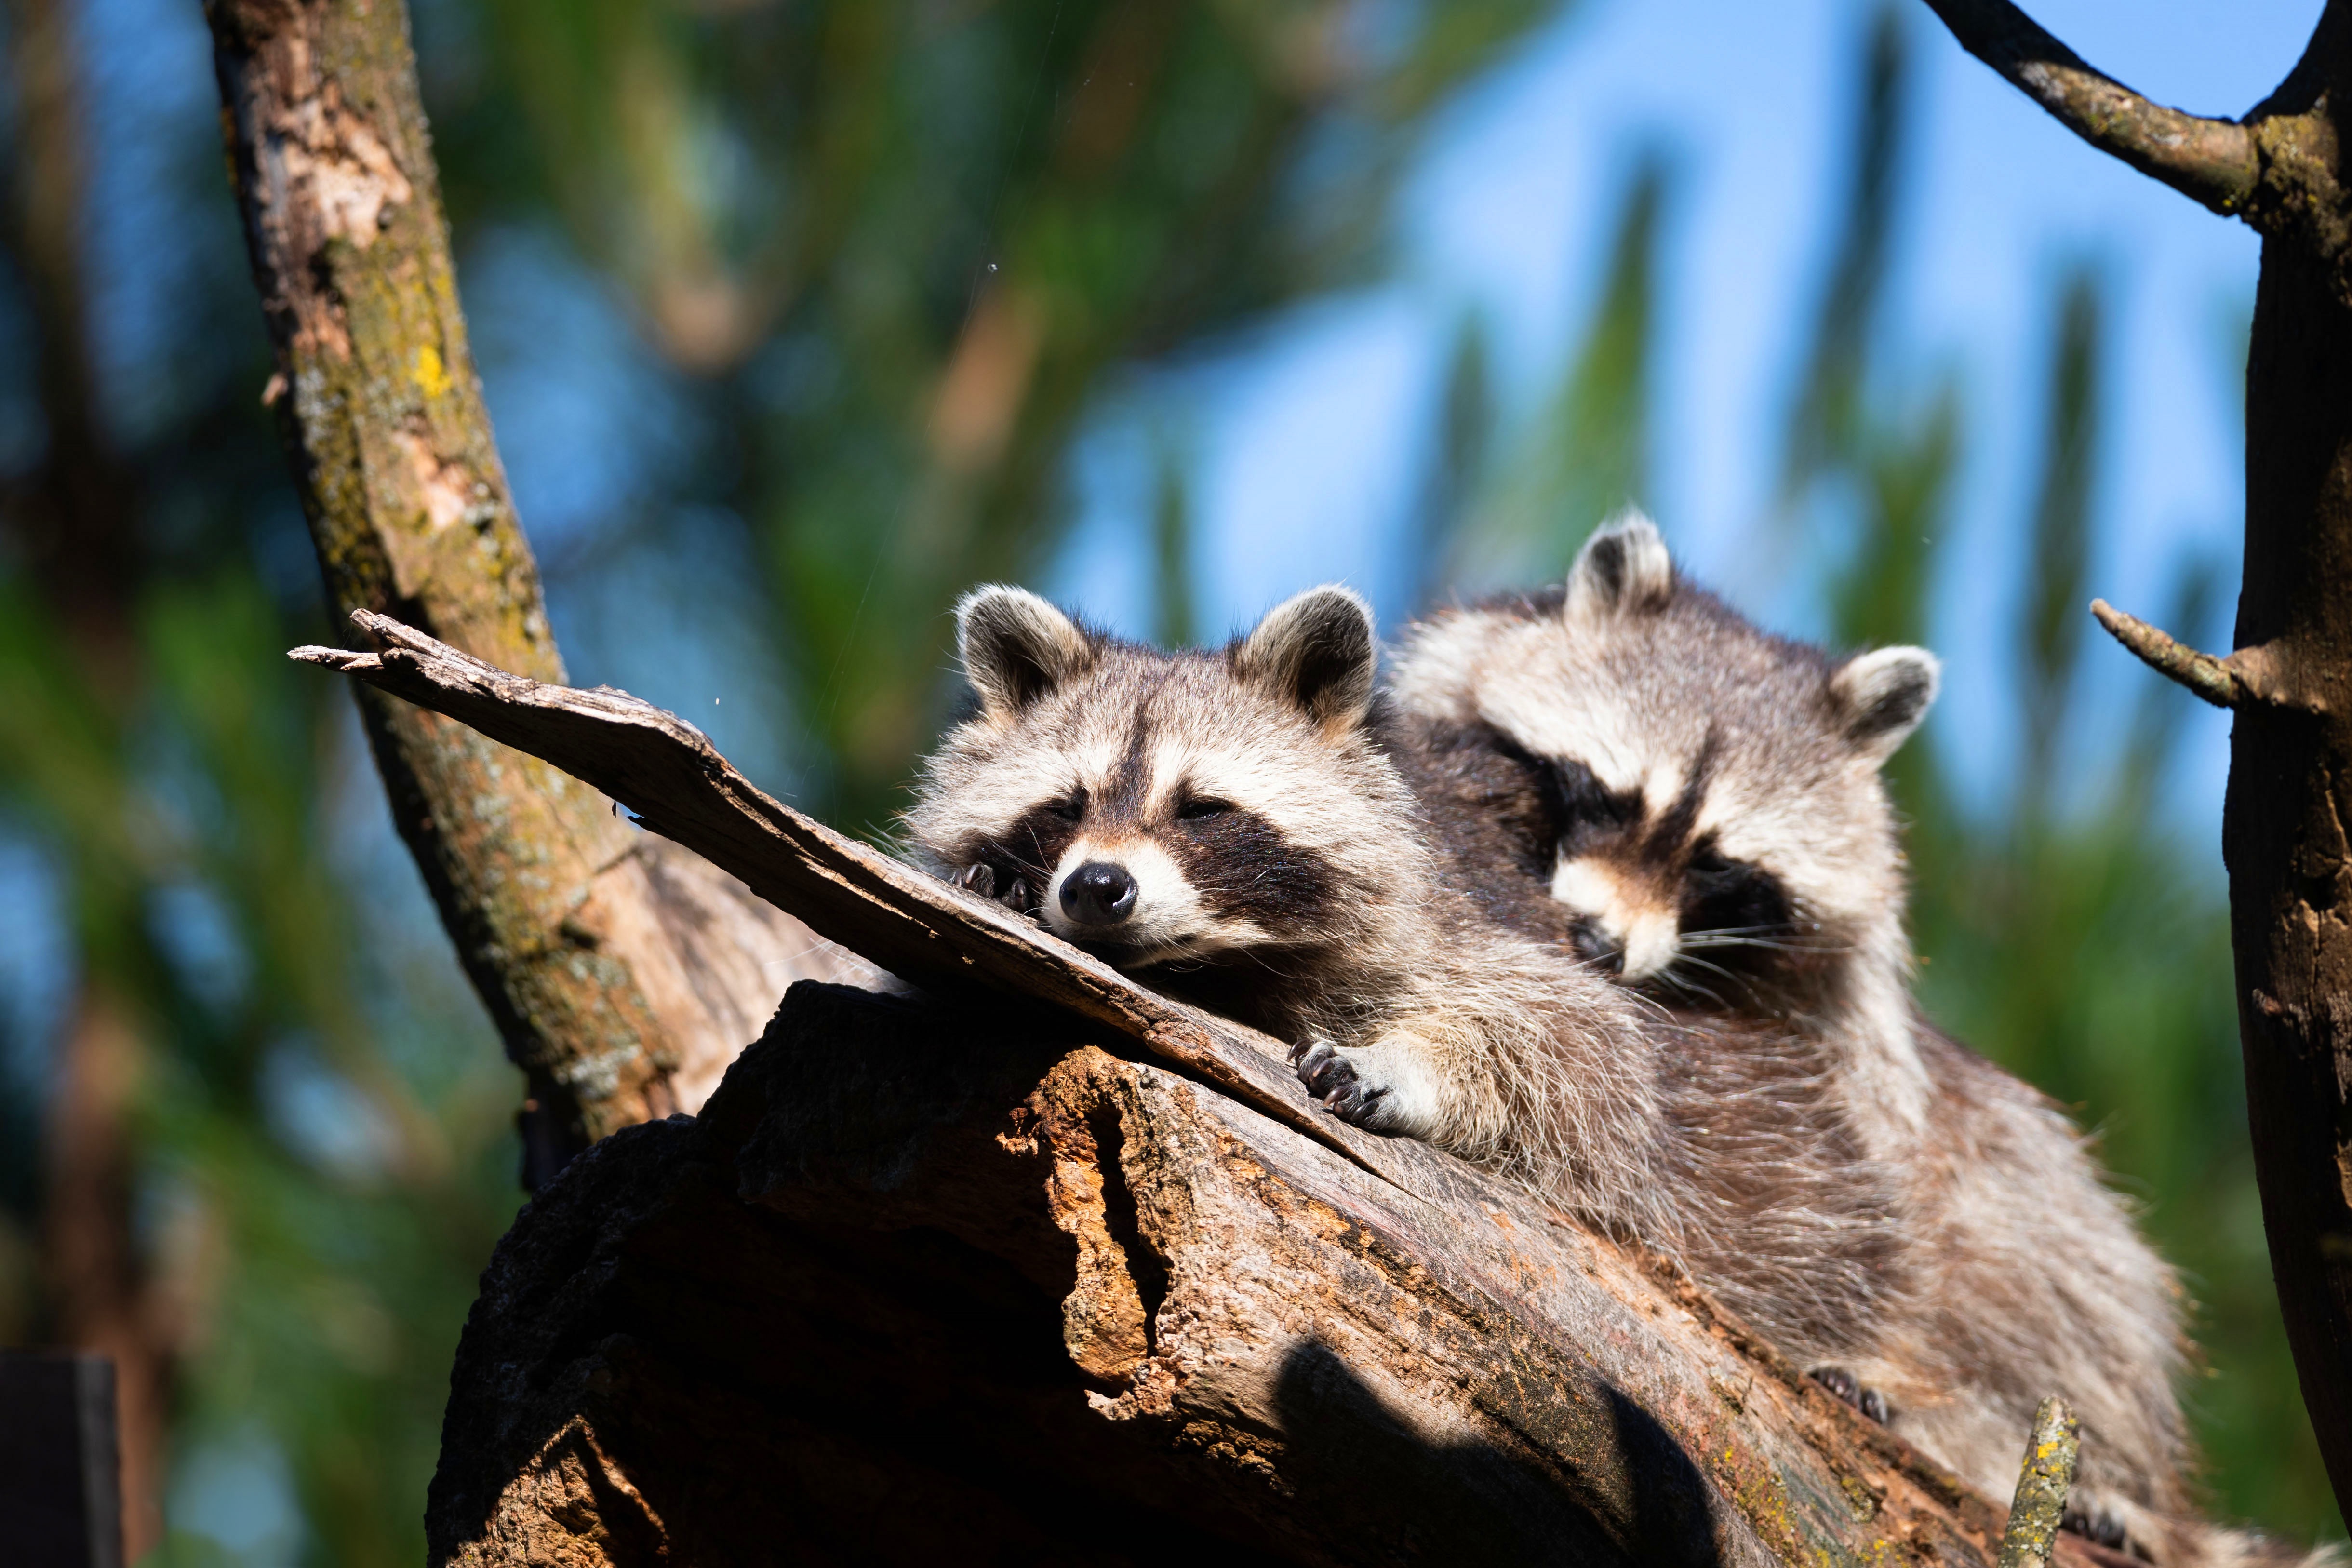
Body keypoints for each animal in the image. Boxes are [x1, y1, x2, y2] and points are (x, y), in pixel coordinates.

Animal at [898, 583, 1910, 1363]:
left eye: (1203, 809)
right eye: (1066, 805)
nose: (1097, 887)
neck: (1215, 961)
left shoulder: (1467, 921)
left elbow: (1590, 1056)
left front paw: (1412, 1064)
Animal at [1383, 512, 2324, 1561]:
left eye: (1716, 863)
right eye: (1607, 795)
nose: (1599, 942)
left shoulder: (1851, 1029)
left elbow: (1872, 1188)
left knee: (2056, 1245)